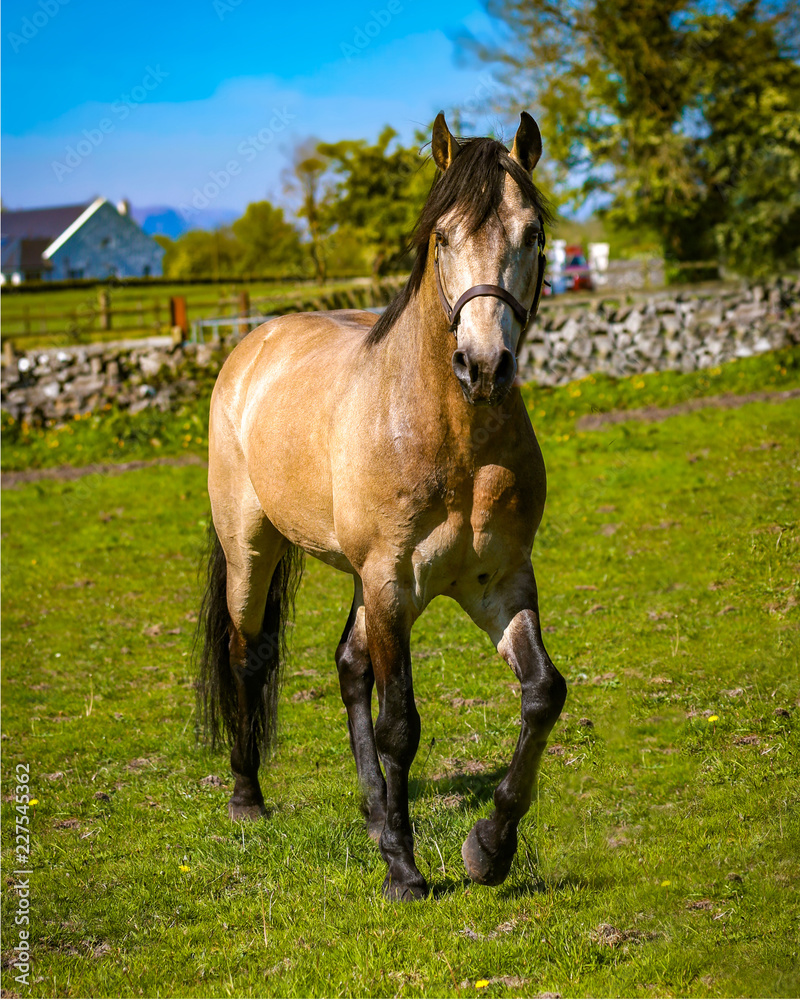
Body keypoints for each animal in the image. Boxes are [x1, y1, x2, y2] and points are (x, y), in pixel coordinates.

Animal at [196, 111, 568, 901]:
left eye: (532, 233)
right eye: (443, 237)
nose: (483, 367)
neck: (453, 437)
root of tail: (255, 342)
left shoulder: (500, 583)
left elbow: (543, 694)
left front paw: (489, 847)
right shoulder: (393, 584)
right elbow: (402, 724)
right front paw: (403, 867)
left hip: (363, 582)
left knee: (348, 665)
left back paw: (371, 812)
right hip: (253, 549)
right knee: (248, 655)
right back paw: (248, 797)